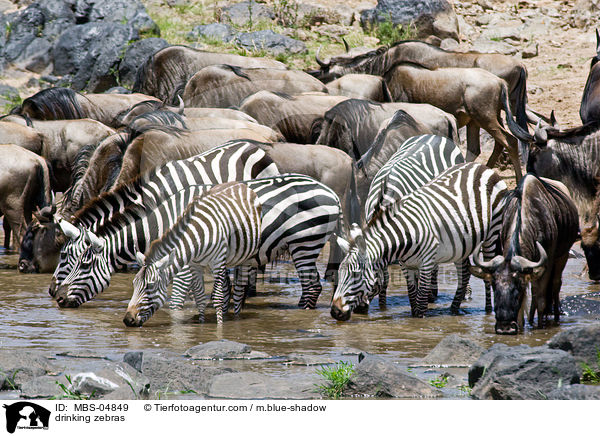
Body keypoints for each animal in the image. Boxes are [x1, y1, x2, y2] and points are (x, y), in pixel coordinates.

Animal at [51, 174, 342, 310]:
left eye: (82, 264)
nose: (58, 298)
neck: (166, 220)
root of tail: (331, 192)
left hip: (305, 243)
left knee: (312, 287)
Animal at [125, 182, 262, 326]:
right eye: (134, 284)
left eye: (150, 286)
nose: (127, 320)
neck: (198, 238)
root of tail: (239, 184)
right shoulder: (194, 264)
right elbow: (200, 298)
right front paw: (201, 325)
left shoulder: (218, 260)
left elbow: (217, 298)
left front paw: (220, 327)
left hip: (246, 258)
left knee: (238, 293)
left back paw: (236, 318)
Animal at [330, 161, 508, 320]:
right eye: (340, 273)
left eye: (355, 275)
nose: (335, 312)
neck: (403, 237)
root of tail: (482, 166)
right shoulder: (406, 265)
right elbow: (412, 297)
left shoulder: (427, 263)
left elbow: (421, 301)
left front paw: (419, 324)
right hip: (462, 244)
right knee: (464, 273)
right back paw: (453, 309)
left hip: (492, 233)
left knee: (487, 272)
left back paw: (488, 310)